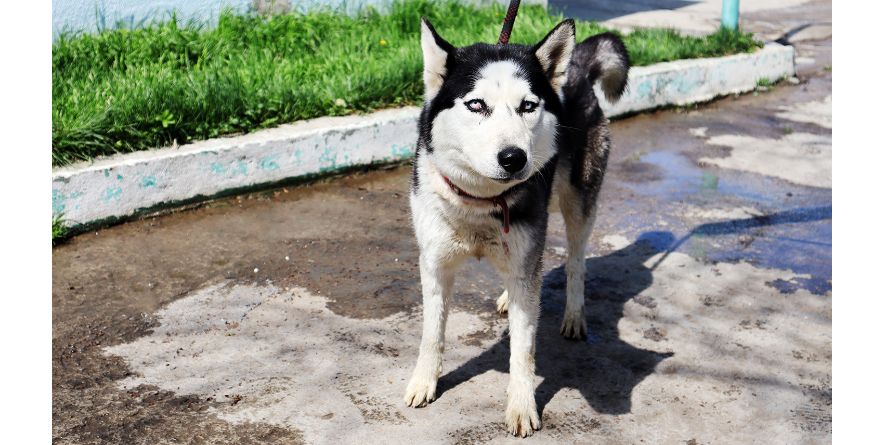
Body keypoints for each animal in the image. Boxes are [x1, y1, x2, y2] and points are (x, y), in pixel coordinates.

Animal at [404, 18, 632, 438]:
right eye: (477, 104)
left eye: (528, 106)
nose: (514, 158)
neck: (480, 202)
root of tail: (576, 65)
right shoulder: (435, 264)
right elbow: (432, 333)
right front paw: (423, 382)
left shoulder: (529, 254)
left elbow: (523, 351)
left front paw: (522, 406)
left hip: (578, 204)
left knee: (575, 261)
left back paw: (574, 315)